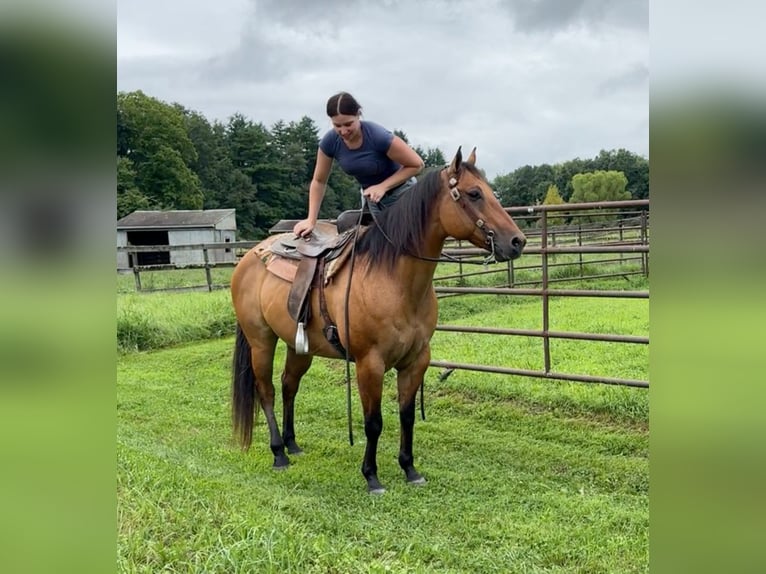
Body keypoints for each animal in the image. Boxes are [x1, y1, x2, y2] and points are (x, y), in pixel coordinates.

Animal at [230, 146, 528, 492]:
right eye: (474, 193)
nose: (517, 241)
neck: (392, 280)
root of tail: (249, 257)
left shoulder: (416, 360)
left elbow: (406, 415)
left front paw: (410, 468)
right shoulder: (368, 363)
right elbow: (373, 422)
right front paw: (371, 476)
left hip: (297, 345)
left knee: (289, 385)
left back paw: (293, 444)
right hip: (261, 341)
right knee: (267, 391)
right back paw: (279, 453)